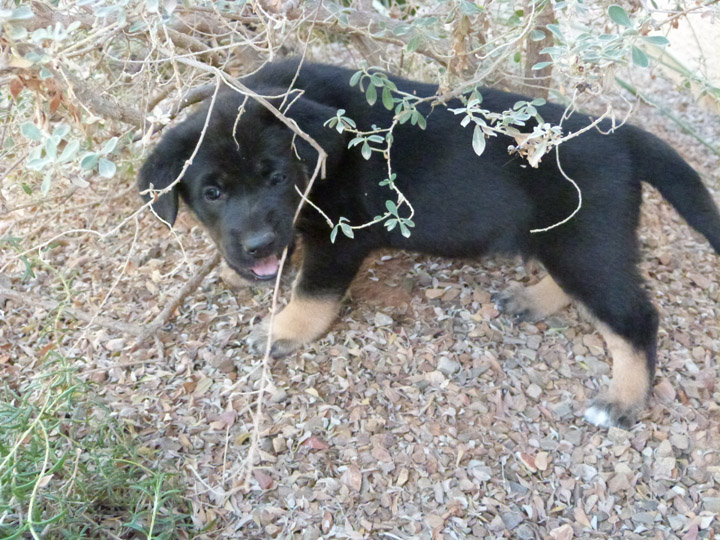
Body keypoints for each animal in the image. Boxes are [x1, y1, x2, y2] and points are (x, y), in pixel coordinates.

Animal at [139, 58, 720, 430]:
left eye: (279, 178)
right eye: (213, 192)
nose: (258, 247)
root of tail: (625, 137)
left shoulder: (340, 238)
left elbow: (313, 293)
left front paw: (284, 329)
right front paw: (238, 270)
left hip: (586, 243)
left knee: (635, 318)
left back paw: (623, 400)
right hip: (568, 241)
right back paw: (532, 299)